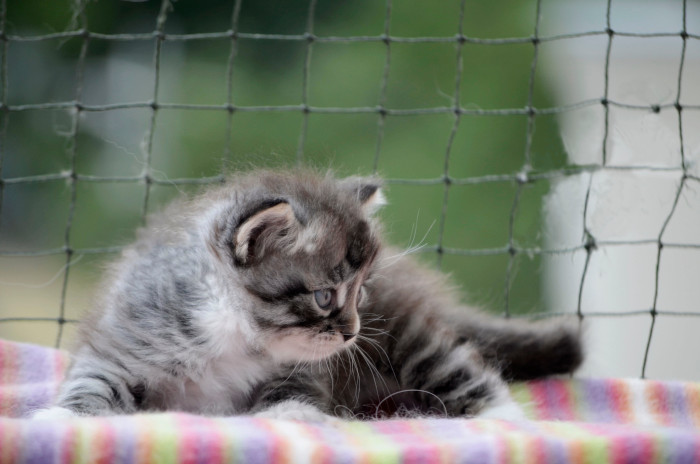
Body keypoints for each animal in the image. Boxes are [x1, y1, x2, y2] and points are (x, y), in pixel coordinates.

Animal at [34, 169, 582, 421]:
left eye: (362, 291)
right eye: (324, 297)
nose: (353, 332)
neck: (234, 338)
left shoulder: (309, 369)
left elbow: (293, 392)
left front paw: (287, 415)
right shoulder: (127, 336)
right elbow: (91, 380)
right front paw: (65, 418)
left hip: (409, 336)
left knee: (469, 378)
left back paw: (508, 425)